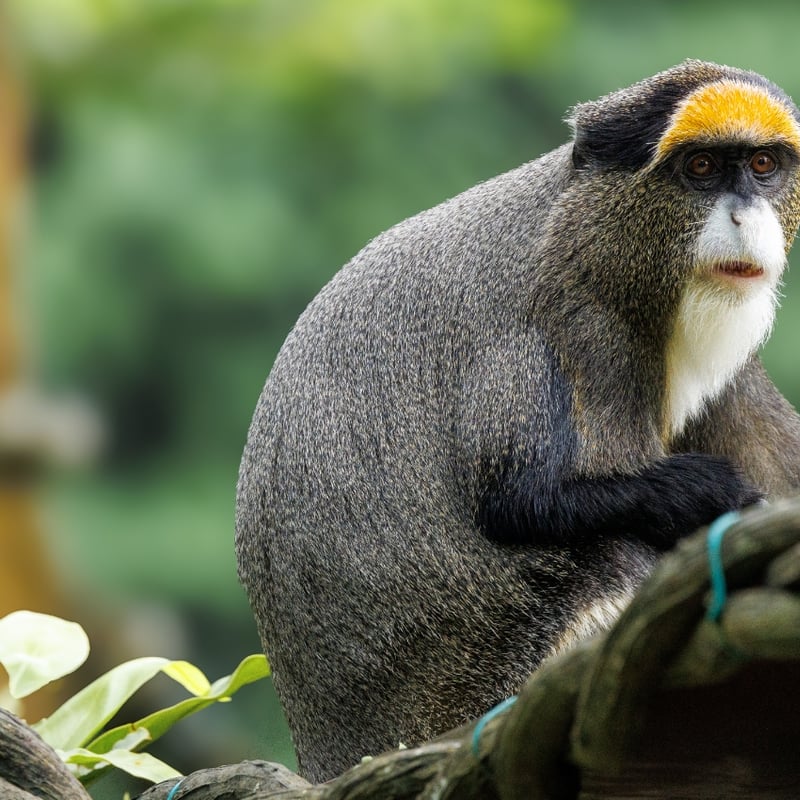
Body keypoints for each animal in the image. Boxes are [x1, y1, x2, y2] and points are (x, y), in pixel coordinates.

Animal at [235, 60, 800, 782]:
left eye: (762, 165)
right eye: (700, 168)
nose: (744, 214)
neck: (595, 241)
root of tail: (328, 754)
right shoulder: (566, 333)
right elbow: (520, 502)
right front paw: (708, 493)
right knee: (605, 554)